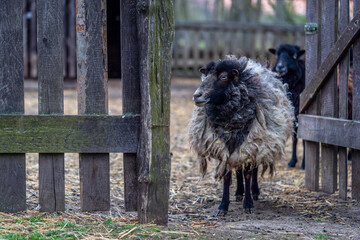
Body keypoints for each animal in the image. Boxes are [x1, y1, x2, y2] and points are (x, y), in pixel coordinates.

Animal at [187, 56, 294, 216]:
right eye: (205, 76)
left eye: (223, 77)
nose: (197, 95)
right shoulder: (225, 146)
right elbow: (227, 174)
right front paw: (223, 206)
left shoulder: (250, 142)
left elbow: (248, 173)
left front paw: (248, 204)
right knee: (237, 167)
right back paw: (238, 192)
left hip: (257, 141)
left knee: (252, 168)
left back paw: (254, 192)